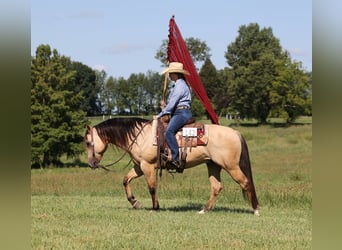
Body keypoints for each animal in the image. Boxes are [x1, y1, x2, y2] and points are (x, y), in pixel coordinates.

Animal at [84, 117, 260, 215]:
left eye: (87, 142)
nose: (91, 163)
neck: (140, 136)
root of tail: (235, 132)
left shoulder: (147, 166)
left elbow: (152, 187)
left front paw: (155, 208)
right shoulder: (140, 167)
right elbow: (126, 180)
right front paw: (135, 203)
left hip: (231, 167)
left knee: (245, 182)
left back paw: (256, 210)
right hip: (213, 165)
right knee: (216, 187)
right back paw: (204, 210)